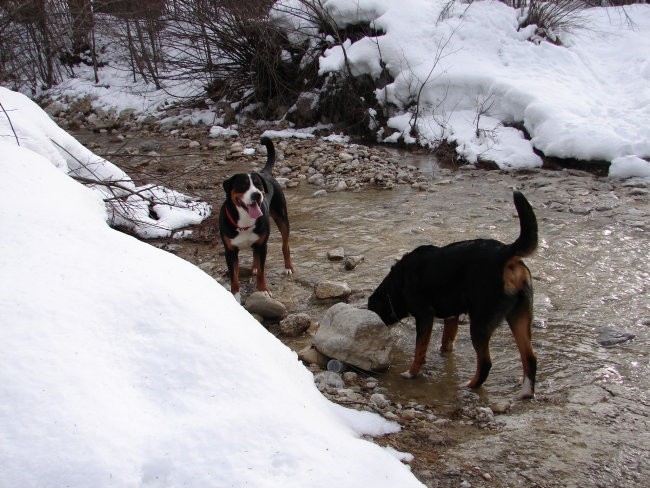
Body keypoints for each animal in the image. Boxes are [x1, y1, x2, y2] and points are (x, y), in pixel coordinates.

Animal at [221, 134, 294, 302]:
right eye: (243, 185)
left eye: (258, 185)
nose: (256, 194)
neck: (245, 220)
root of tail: (265, 172)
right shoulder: (230, 251)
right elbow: (234, 278)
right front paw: (235, 297)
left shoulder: (263, 245)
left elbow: (262, 272)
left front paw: (263, 291)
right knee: (254, 253)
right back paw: (253, 267)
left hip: (282, 218)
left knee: (285, 245)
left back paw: (288, 267)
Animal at [368, 189, 540, 398]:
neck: (398, 282)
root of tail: (505, 252)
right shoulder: (452, 316)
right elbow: (446, 339)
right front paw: (444, 354)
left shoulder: (424, 315)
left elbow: (419, 349)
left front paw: (412, 372)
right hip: (519, 317)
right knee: (530, 358)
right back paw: (526, 392)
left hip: (480, 322)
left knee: (486, 363)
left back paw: (470, 386)